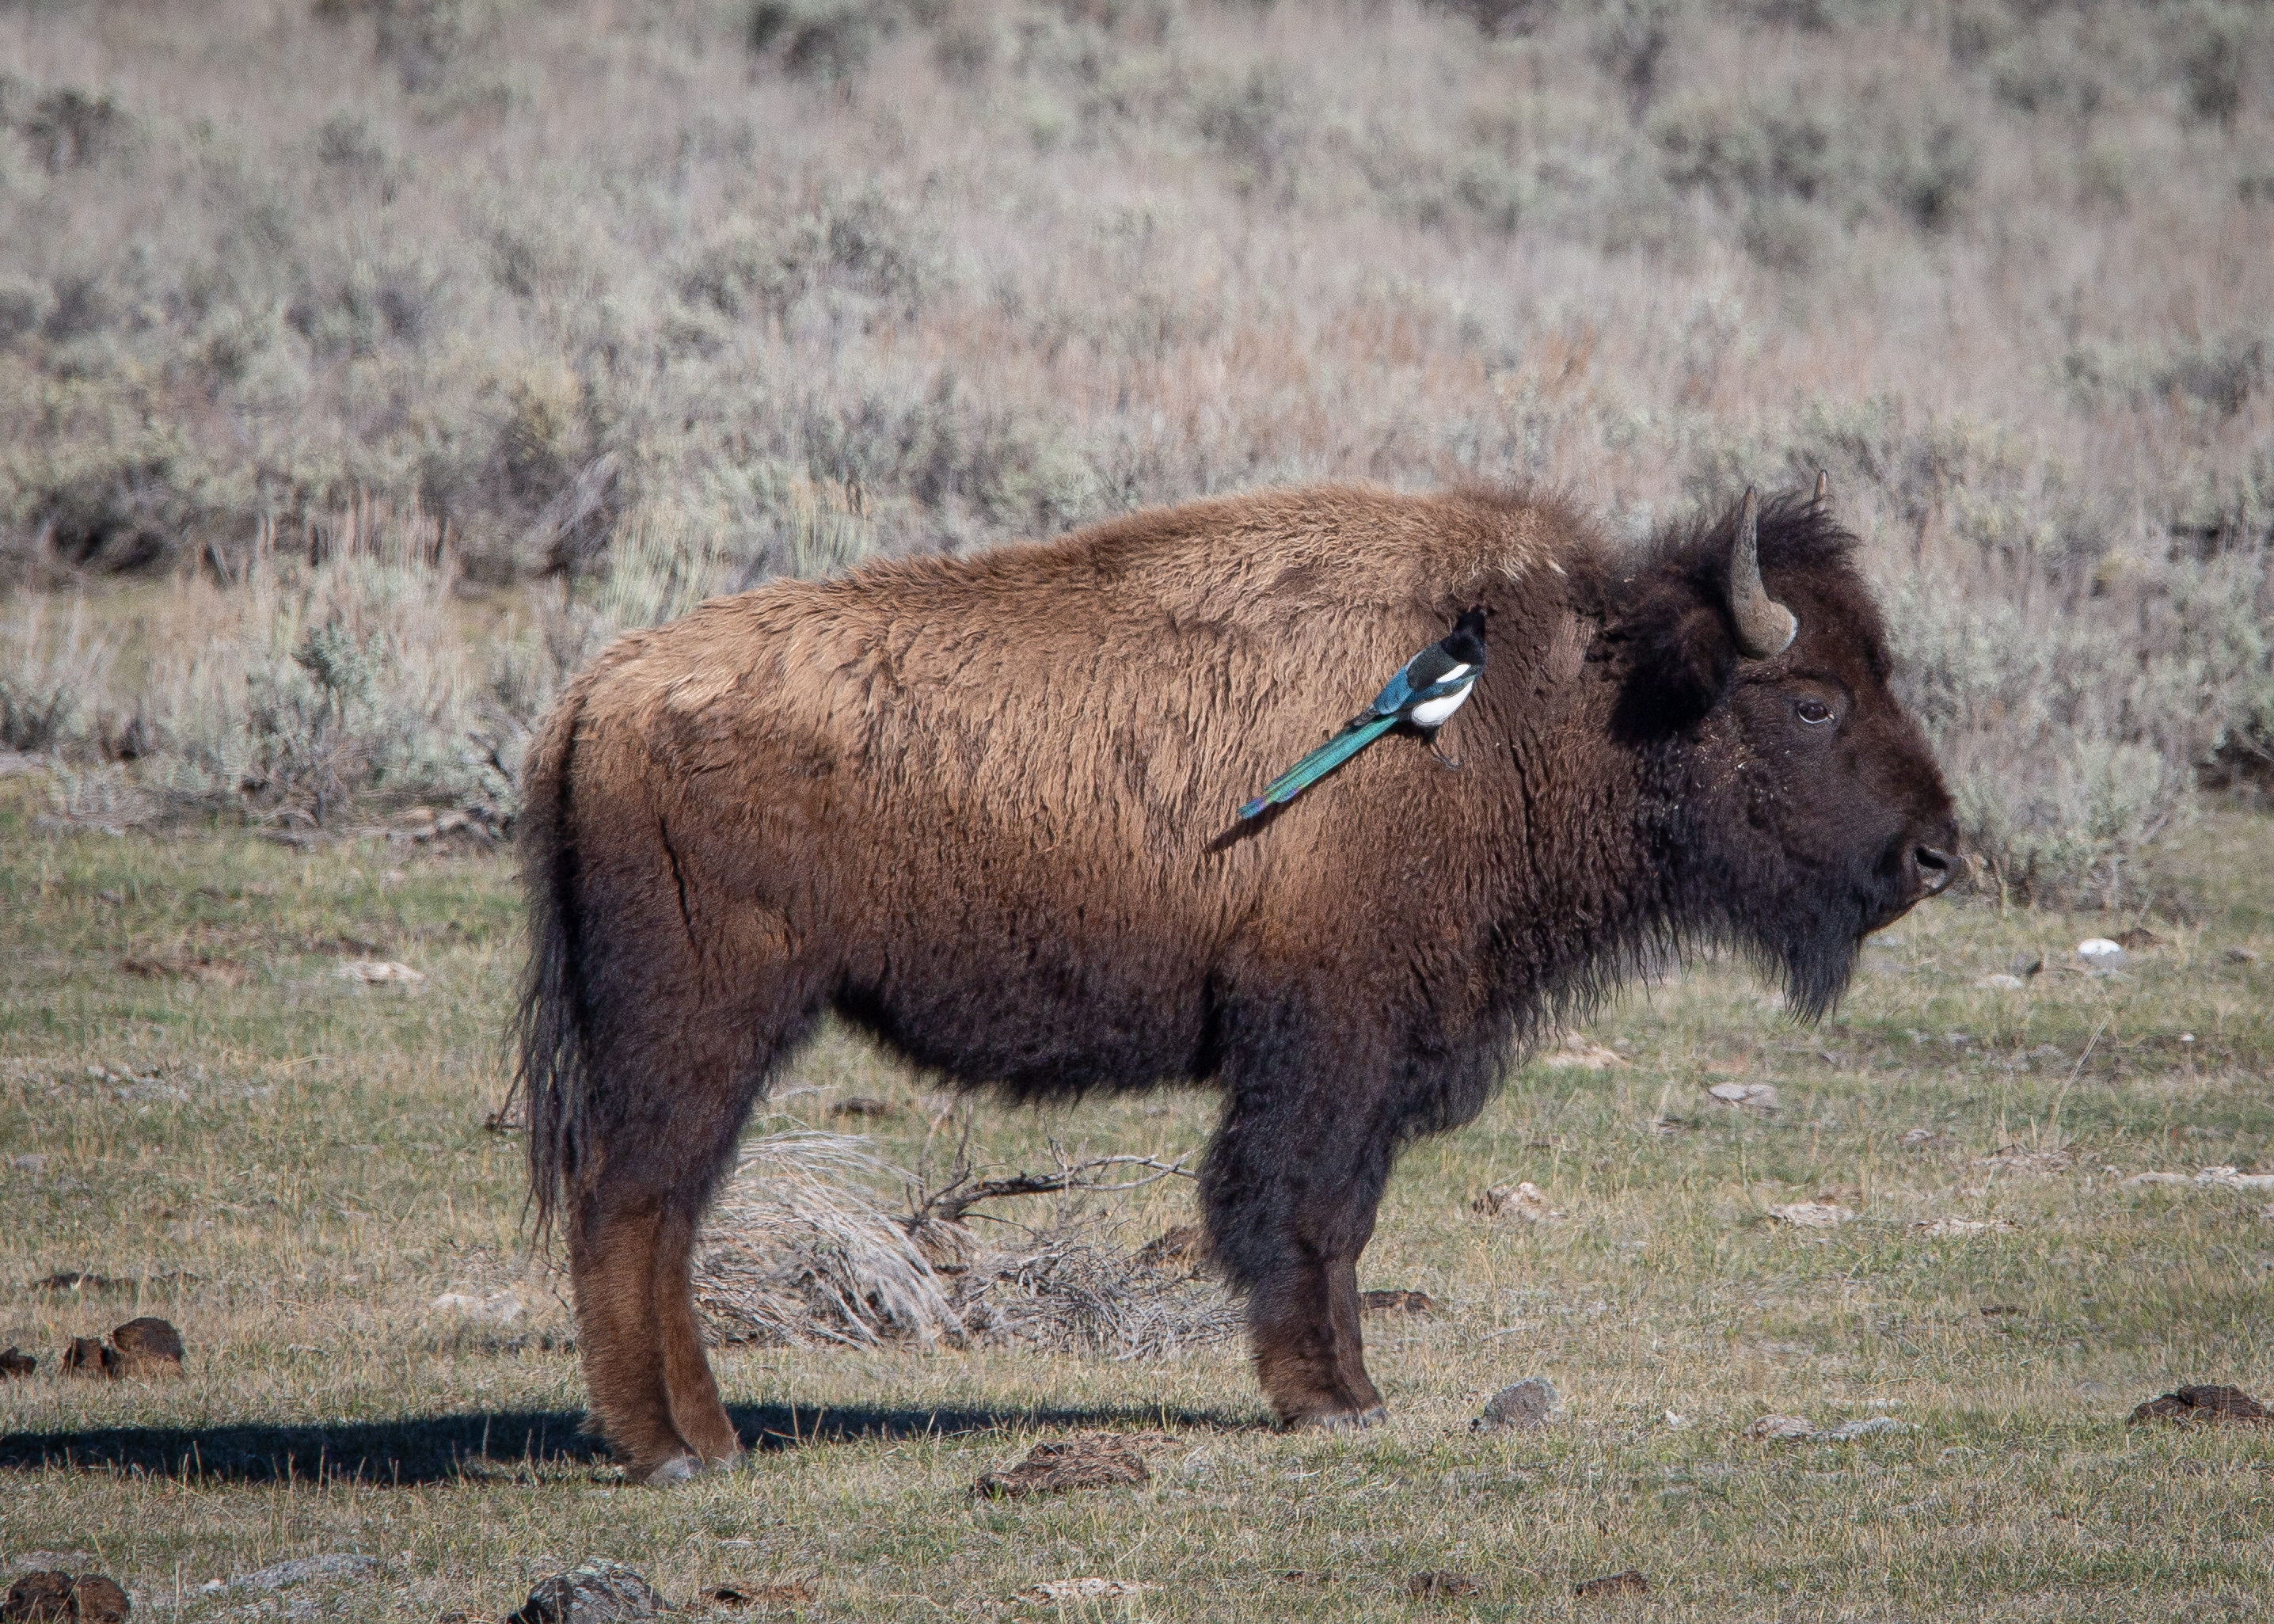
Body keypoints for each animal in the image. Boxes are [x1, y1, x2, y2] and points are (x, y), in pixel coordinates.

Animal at [514, 480, 1956, 1481]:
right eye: (1813, 699)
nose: (1936, 852)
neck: (1554, 697)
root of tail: (600, 689)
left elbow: (1337, 1216)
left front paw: (1348, 1391)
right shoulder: (1328, 1038)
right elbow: (1306, 1213)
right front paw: (1333, 1401)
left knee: (659, 1210)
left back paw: (702, 1434)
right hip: (702, 1022)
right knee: (633, 1203)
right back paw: (675, 1446)